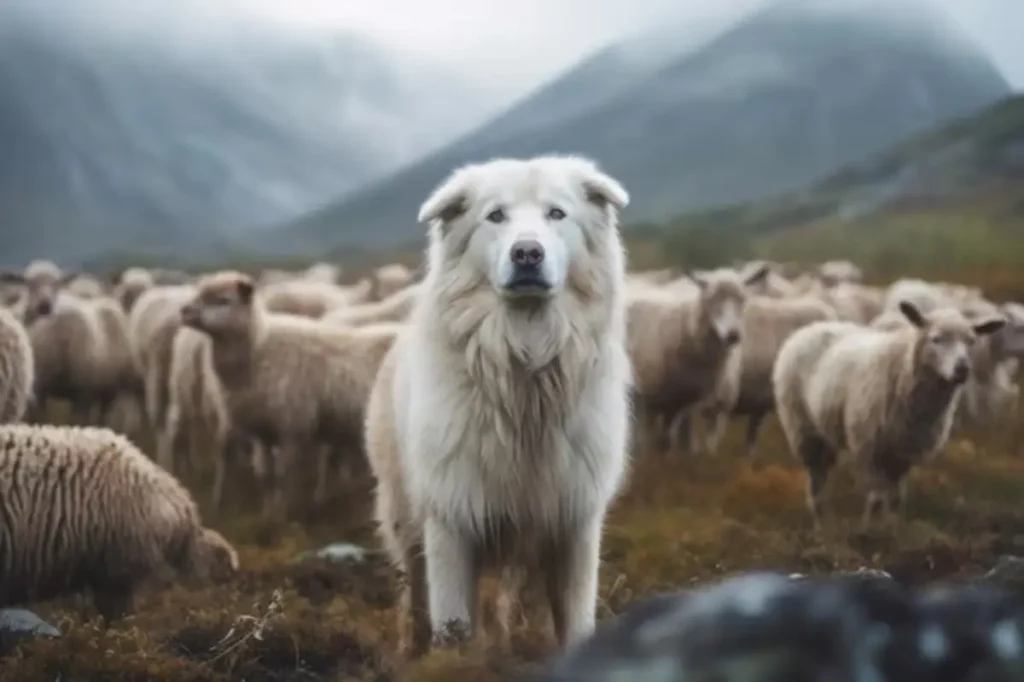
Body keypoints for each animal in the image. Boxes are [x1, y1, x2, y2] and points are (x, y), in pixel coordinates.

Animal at [180, 270, 395, 516]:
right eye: (199, 294)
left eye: (223, 300)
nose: (184, 311)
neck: (260, 349)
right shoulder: (262, 432)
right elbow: (265, 476)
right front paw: (267, 513)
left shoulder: (292, 428)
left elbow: (283, 476)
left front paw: (282, 513)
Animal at [360, 153, 630, 655]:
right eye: (496, 216)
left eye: (557, 214)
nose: (527, 254)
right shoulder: (451, 520)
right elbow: (451, 623)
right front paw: (450, 660)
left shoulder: (574, 522)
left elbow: (575, 620)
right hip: (406, 521)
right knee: (414, 599)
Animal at [626, 261, 770, 450]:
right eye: (712, 300)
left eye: (742, 299)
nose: (733, 335)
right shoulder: (651, 397)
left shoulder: (682, 403)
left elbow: (669, 440)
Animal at [774, 301, 999, 528]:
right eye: (936, 339)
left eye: (971, 341)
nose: (962, 369)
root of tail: (812, 327)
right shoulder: (868, 446)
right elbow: (877, 498)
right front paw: (871, 529)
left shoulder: (903, 451)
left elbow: (896, 498)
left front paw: (891, 525)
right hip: (803, 427)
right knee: (817, 480)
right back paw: (822, 523)